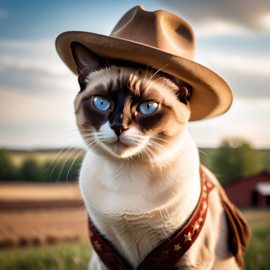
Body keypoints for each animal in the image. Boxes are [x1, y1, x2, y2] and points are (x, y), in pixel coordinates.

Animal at [71, 43, 245, 268]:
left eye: (147, 107)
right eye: (101, 103)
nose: (119, 126)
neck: (126, 172)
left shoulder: (190, 259)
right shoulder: (107, 258)